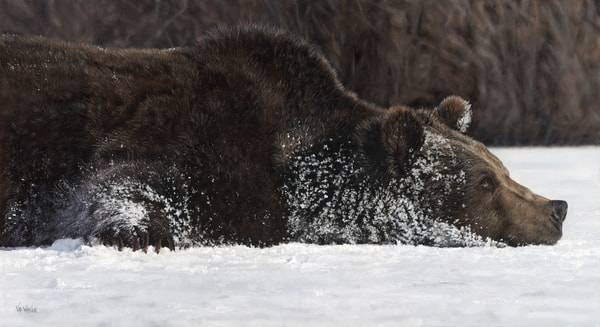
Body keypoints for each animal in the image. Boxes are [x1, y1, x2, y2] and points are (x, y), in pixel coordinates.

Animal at [0, 25, 568, 251]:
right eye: (485, 183)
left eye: (504, 170)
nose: (557, 207)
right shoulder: (193, 140)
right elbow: (123, 186)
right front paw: (141, 234)